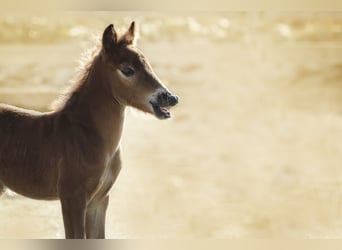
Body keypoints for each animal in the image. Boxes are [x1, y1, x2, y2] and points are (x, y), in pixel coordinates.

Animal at [0, 22, 180, 238]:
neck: (86, 136)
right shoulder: (72, 198)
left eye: (148, 65)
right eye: (127, 70)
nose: (170, 98)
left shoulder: (99, 201)